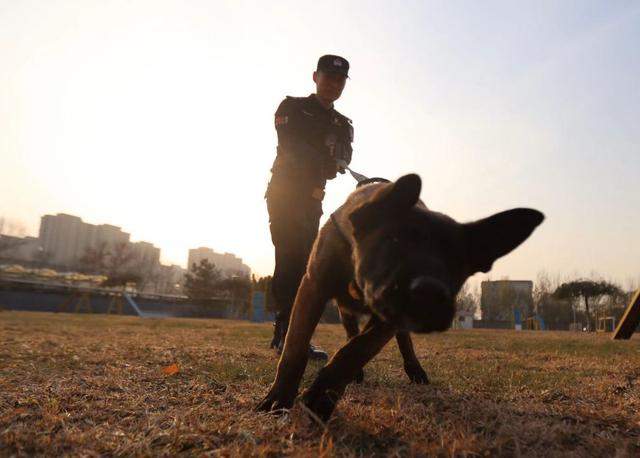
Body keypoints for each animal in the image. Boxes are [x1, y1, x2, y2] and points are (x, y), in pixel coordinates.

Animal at [258, 174, 544, 420]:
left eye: (457, 264)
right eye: (393, 241)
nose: (430, 292)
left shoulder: (387, 319)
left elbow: (354, 352)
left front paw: (320, 398)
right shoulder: (313, 287)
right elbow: (295, 349)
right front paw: (279, 399)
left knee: (400, 342)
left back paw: (414, 370)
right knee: (350, 331)